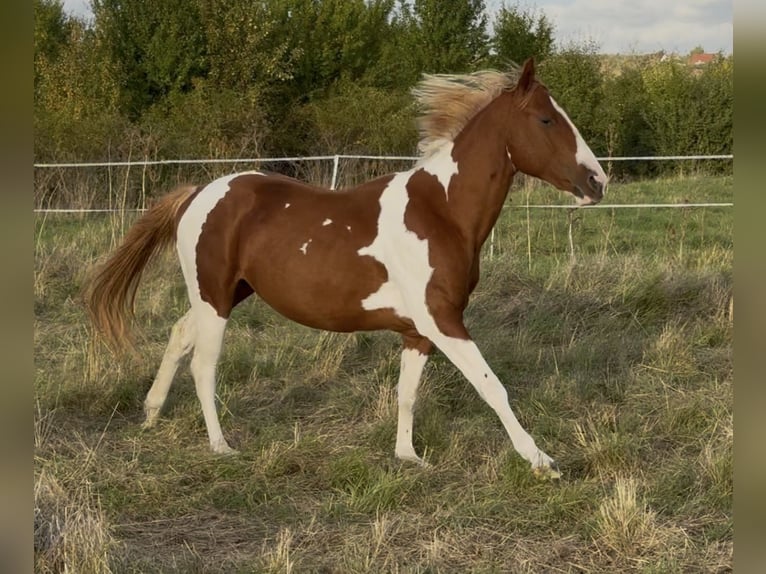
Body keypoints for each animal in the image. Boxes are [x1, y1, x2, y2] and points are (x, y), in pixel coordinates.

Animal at [85, 58, 607, 478]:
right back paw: (220, 446)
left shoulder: (418, 331)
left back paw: (151, 414)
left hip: (225, 293)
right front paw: (542, 462)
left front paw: (408, 457)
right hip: (214, 298)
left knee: (178, 336)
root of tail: (198, 193)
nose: (597, 181)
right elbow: (492, 387)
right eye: (546, 119)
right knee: (203, 364)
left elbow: (406, 394)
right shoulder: (443, 321)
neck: (441, 211)